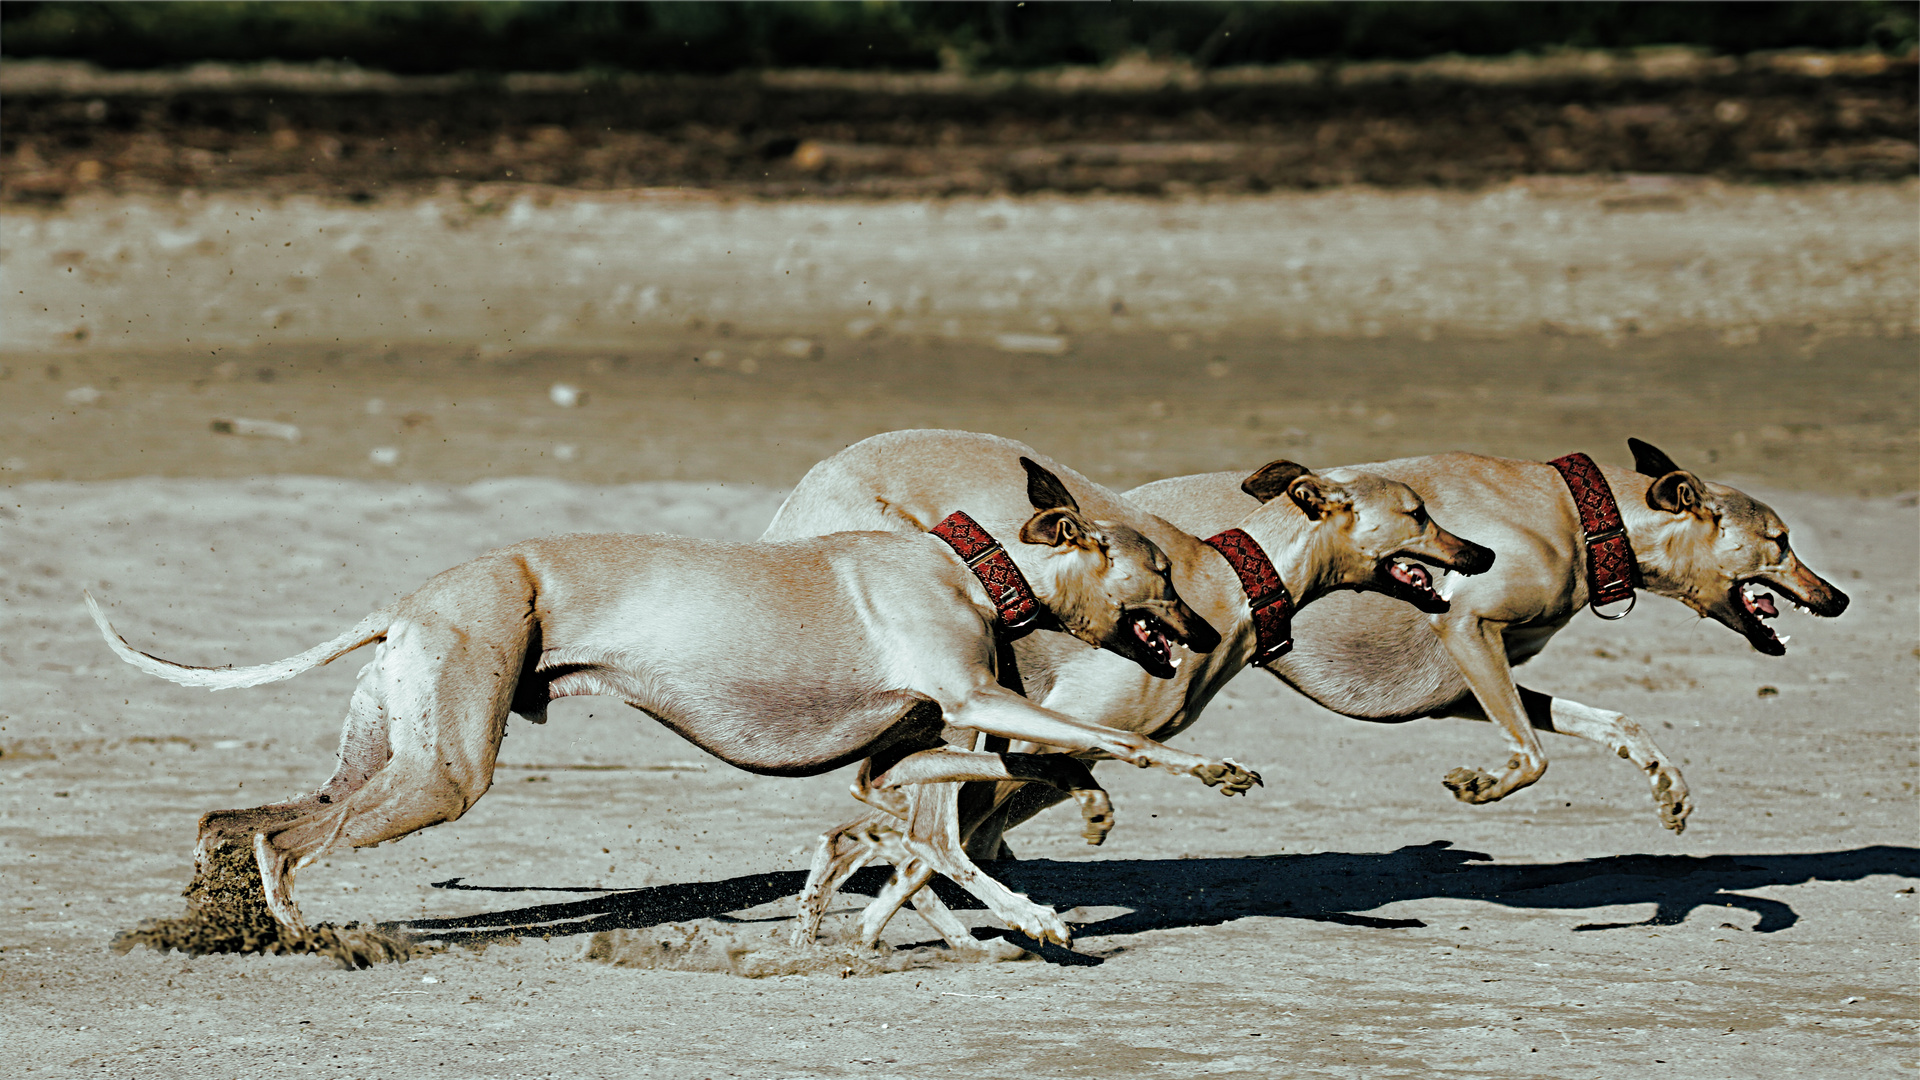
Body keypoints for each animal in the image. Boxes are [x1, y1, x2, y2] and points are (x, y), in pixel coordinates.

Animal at [97, 453, 1251, 941]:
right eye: (1159, 572)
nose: (1207, 632)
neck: (971, 565)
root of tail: (415, 599)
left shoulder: (915, 741)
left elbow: (946, 800)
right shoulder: (969, 701)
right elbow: (1111, 748)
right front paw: (1211, 766)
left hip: (387, 758)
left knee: (233, 819)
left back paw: (217, 909)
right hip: (444, 777)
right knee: (286, 841)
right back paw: (300, 928)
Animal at [756, 428, 1489, 941]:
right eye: (1417, 512)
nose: (1483, 553)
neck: (1227, 581)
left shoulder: (1063, 748)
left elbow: (911, 841)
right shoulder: (1052, 734)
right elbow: (927, 846)